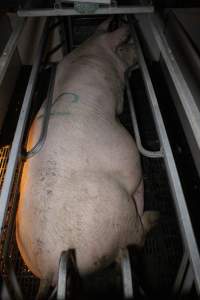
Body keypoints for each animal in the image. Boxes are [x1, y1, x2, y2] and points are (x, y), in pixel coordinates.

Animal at [15, 19, 159, 288]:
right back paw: (154, 216)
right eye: (126, 44)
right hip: (119, 217)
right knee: (137, 236)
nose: (140, 50)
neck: (91, 51)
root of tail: (51, 269)